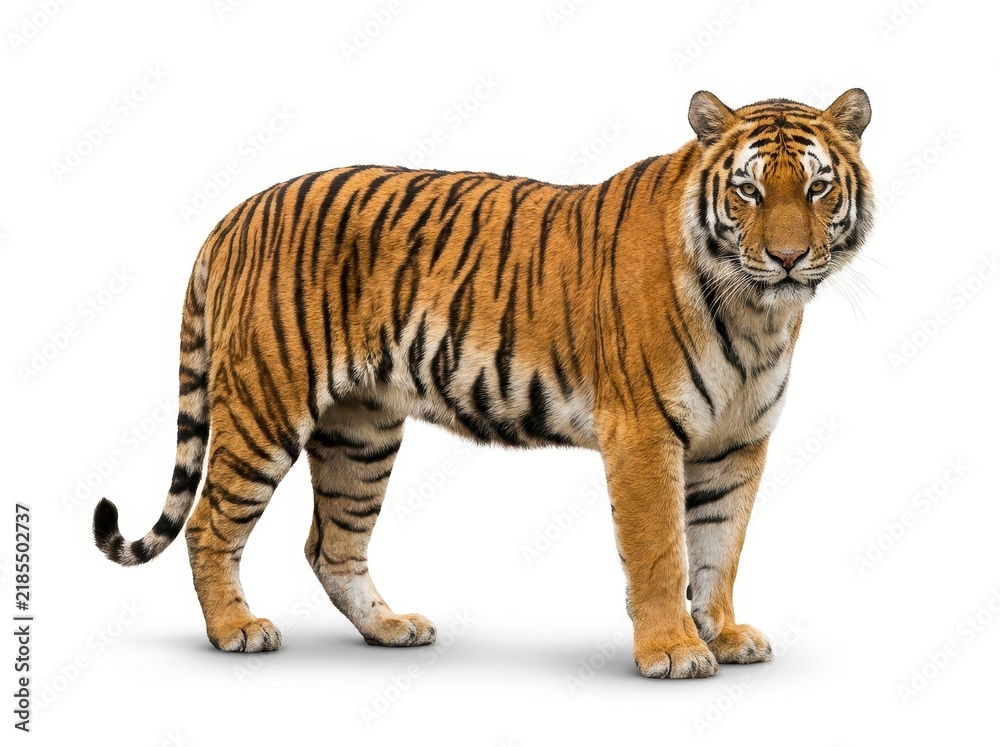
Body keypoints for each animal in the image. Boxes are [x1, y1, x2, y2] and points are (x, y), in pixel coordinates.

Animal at [93, 88, 873, 678]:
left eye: (817, 186)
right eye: (747, 190)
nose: (788, 257)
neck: (758, 313)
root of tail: (235, 213)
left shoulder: (737, 443)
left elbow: (719, 548)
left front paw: (725, 636)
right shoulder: (645, 435)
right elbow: (661, 551)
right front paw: (674, 652)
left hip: (361, 432)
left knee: (330, 545)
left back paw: (390, 627)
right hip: (266, 407)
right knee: (210, 522)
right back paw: (236, 629)